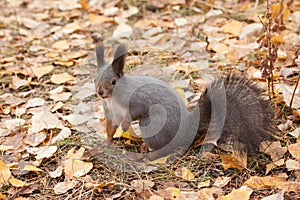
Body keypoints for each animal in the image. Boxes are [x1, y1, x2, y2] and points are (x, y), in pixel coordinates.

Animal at [94, 44, 274, 161]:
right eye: (95, 79)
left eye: (113, 81)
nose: (99, 92)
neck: (112, 98)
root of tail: (189, 129)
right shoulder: (110, 111)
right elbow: (111, 127)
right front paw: (107, 142)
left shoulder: (138, 99)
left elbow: (135, 112)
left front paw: (125, 125)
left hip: (153, 125)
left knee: (161, 151)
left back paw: (142, 155)